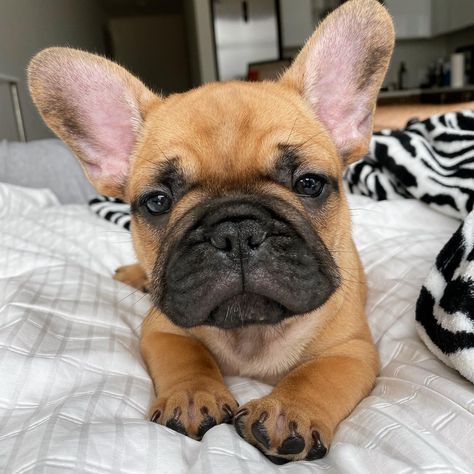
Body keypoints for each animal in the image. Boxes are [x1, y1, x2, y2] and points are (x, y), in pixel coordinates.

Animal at [27, 0, 394, 462]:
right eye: (157, 202)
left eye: (309, 183)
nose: (236, 231)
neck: (251, 332)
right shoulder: (161, 330)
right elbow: (189, 355)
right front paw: (191, 395)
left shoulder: (352, 350)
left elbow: (317, 375)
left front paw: (287, 410)